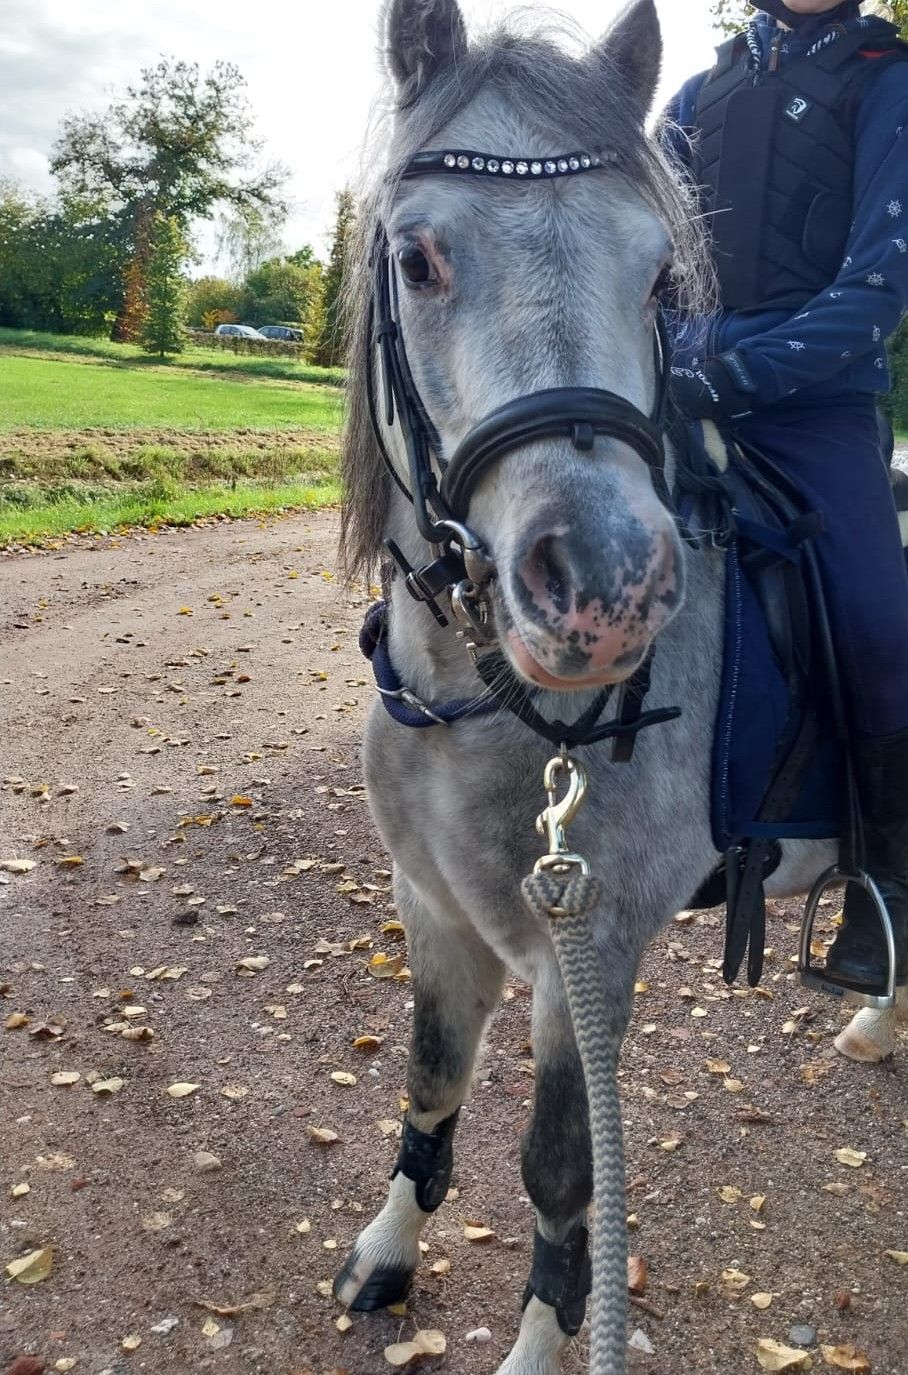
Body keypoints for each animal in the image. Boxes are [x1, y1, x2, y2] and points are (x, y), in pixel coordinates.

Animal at [331, 2, 903, 1370]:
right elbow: (429, 1080)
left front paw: (545, 1339)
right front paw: (388, 1249)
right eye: (417, 259)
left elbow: (559, 1170)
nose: (604, 584)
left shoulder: (584, 949)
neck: (477, 706)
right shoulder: (432, 910)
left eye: (658, 278)